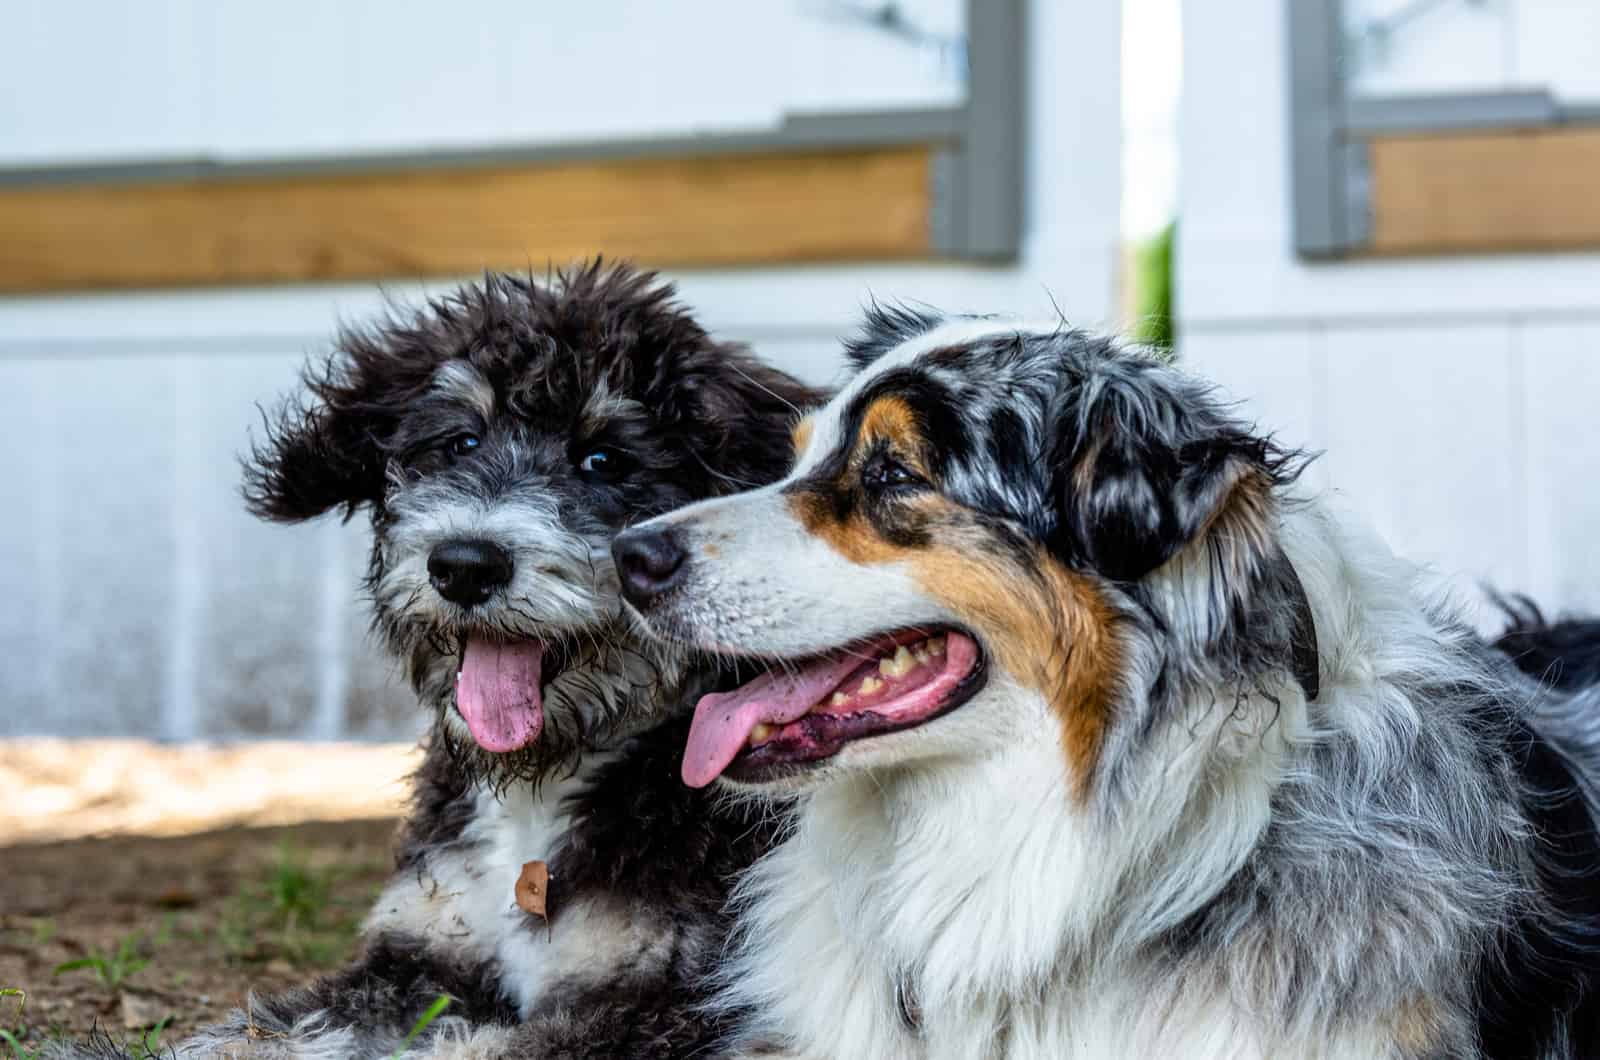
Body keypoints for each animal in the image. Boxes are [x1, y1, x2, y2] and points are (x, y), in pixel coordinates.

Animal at [56, 264, 819, 1060]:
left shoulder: (673, 1002)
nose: (465, 564)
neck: (536, 804)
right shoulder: (415, 957)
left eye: (604, 460)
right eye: (460, 440)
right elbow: (260, 1033)